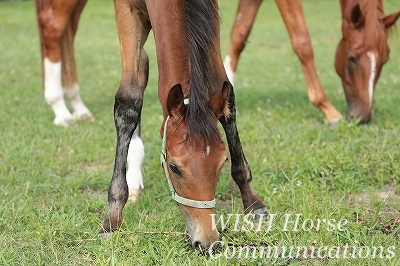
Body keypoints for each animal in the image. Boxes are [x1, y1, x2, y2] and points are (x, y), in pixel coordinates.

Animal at [35, 0, 268, 251]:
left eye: (222, 162)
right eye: (174, 168)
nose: (208, 241)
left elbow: (224, 92)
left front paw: (253, 201)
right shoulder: (126, 9)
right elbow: (129, 100)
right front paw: (112, 220)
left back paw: (77, 105)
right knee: (53, 27)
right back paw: (60, 108)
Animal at [223, 0, 398, 124]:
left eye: (385, 60)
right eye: (352, 57)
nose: (362, 118)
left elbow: (240, 33)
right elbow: (302, 42)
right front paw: (329, 111)